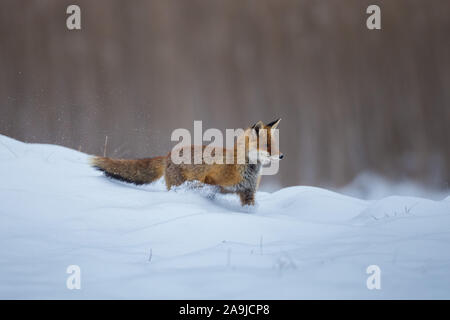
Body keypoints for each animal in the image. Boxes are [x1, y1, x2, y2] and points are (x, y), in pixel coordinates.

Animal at [89, 119, 284, 205]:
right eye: (267, 146)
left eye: (274, 145)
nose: (282, 156)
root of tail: (169, 154)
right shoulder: (210, 182)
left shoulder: (248, 193)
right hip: (177, 186)